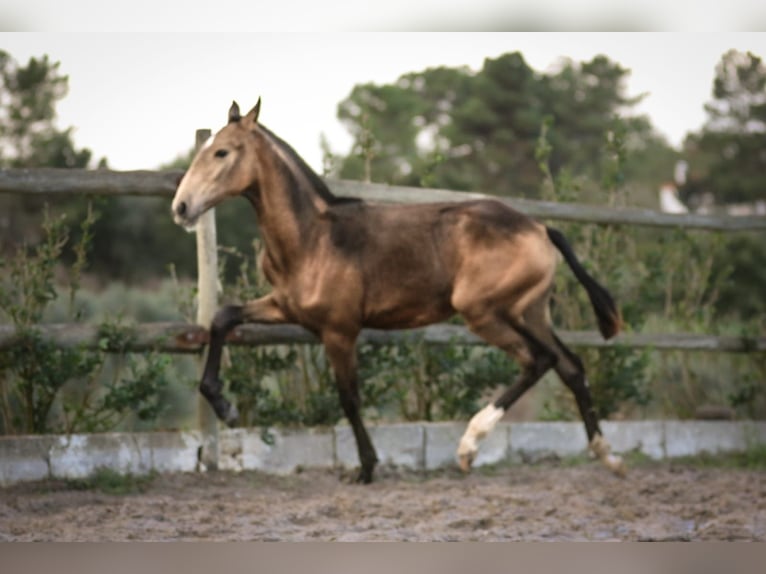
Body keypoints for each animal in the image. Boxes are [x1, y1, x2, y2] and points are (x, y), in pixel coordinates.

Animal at [171, 101, 628, 484]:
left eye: (222, 152)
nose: (181, 207)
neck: (311, 237)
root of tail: (540, 227)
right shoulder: (287, 308)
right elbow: (223, 317)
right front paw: (225, 407)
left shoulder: (339, 330)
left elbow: (349, 398)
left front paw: (367, 468)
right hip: (530, 312)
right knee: (570, 366)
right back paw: (606, 454)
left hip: (484, 311)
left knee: (540, 360)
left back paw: (468, 447)